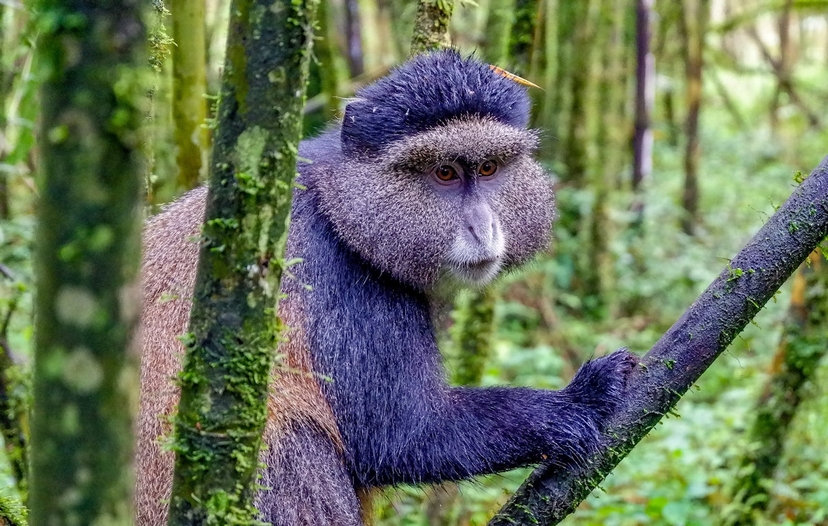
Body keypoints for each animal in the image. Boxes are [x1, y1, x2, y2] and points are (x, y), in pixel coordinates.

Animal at [136, 50, 636, 525]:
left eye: (489, 168)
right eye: (445, 173)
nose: (483, 227)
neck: (336, 206)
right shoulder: (339, 281)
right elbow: (404, 436)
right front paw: (582, 397)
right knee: (293, 442)